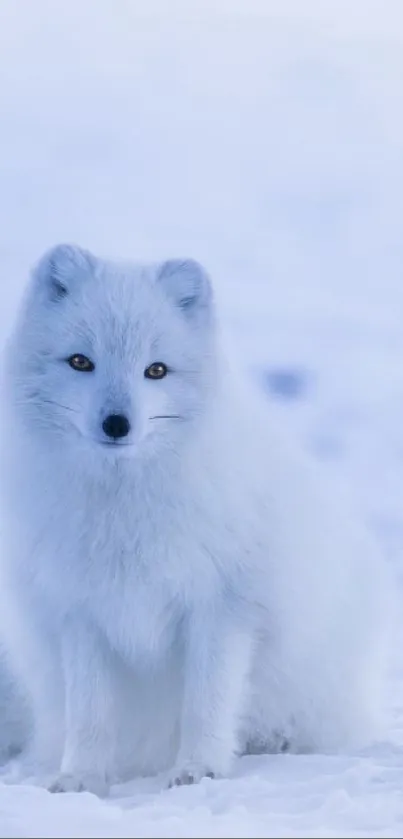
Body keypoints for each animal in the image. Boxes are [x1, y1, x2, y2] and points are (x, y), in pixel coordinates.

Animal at [0, 246, 392, 796]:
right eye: (80, 362)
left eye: (156, 370)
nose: (117, 424)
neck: (124, 508)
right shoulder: (81, 612)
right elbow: (90, 713)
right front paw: (81, 778)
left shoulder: (222, 607)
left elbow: (207, 702)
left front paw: (198, 771)